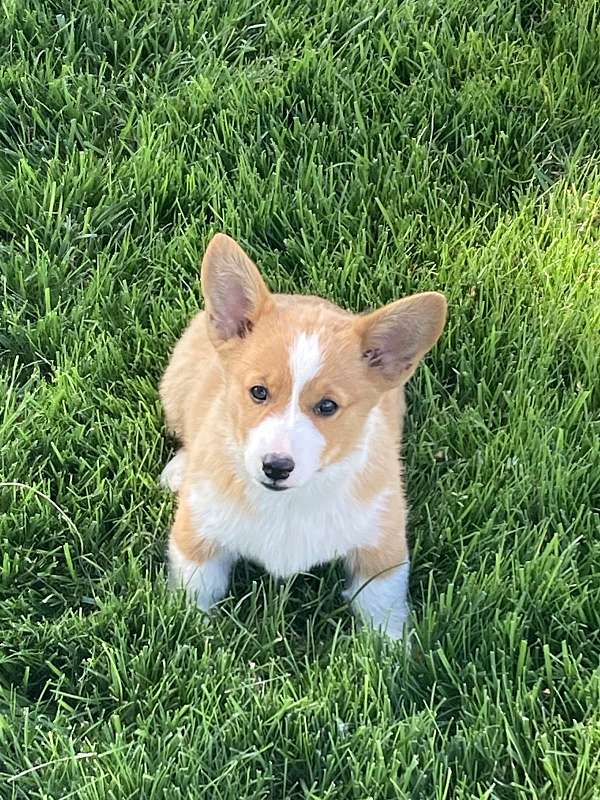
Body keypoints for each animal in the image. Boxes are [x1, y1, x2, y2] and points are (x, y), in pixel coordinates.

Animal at [159, 231, 446, 636]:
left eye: (327, 406)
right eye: (258, 392)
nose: (276, 467)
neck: (290, 502)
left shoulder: (382, 546)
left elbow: (382, 609)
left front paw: (390, 651)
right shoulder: (198, 538)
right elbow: (194, 597)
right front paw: (193, 631)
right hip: (175, 386)